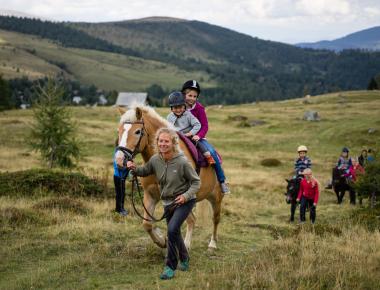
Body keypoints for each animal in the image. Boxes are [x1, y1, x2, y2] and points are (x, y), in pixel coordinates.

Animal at [114, 106, 224, 249]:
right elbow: (147, 224)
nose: (119, 160)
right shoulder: (150, 195)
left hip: (215, 197)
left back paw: (211, 244)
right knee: (192, 220)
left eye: (137, 131)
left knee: (215, 219)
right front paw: (162, 240)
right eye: (119, 130)